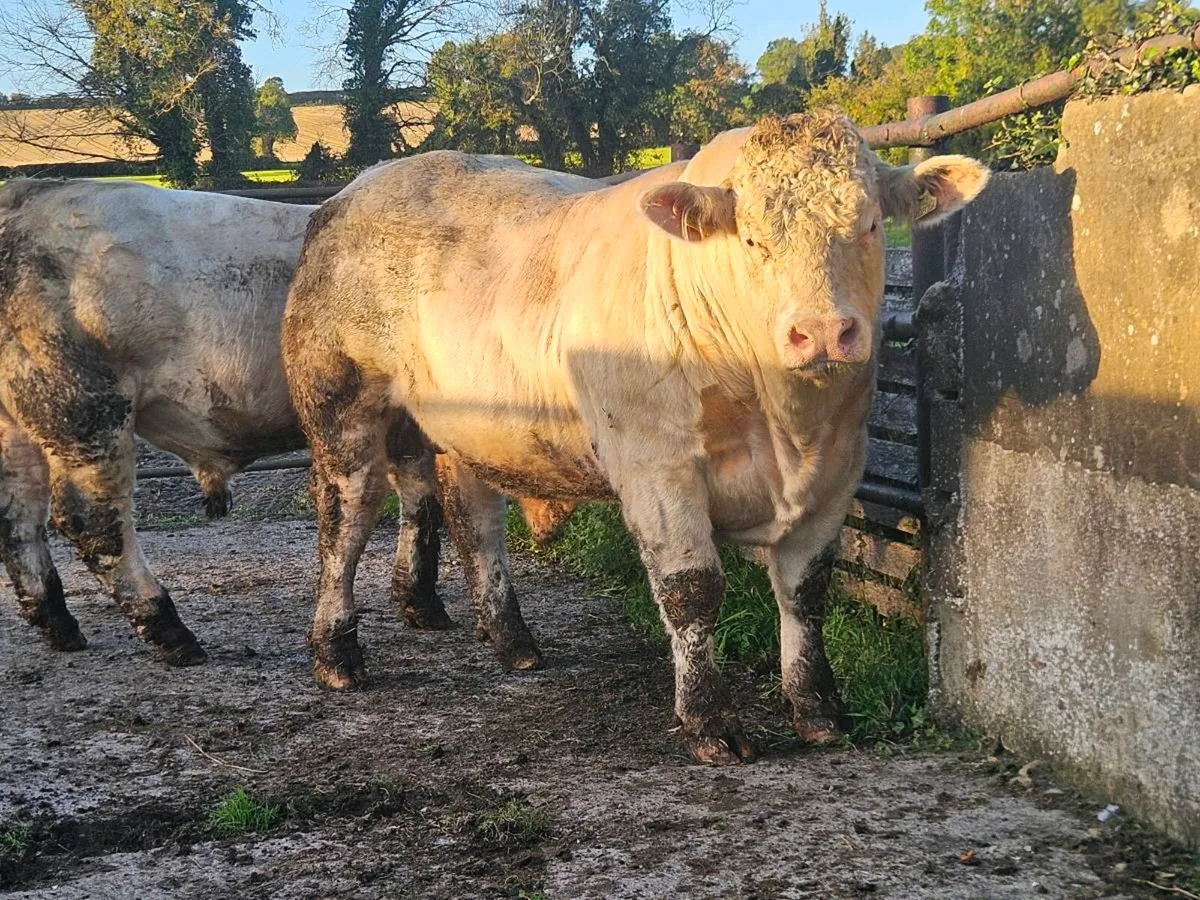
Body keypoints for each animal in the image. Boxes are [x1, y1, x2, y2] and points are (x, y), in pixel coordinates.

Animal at [0, 178, 582, 666]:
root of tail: (29, 193)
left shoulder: (406, 427)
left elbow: (421, 501)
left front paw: (421, 603)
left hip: (19, 427)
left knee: (19, 517)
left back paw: (58, 624)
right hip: (86, 412)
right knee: (91, 521)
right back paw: (171, 632)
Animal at [281, 110, 988, 764]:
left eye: (870, 225)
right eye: (751, 239)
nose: (820, 331)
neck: (788, 428)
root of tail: (350, 194)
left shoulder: (839, 472)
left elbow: (805, 591)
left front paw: (818, 709)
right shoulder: (658, 467)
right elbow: (693, 591)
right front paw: (708, 722)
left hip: (470, 426)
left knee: (473, 518)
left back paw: (512, 640)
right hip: (341, 406)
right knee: (346, 518)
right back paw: (336, 651)